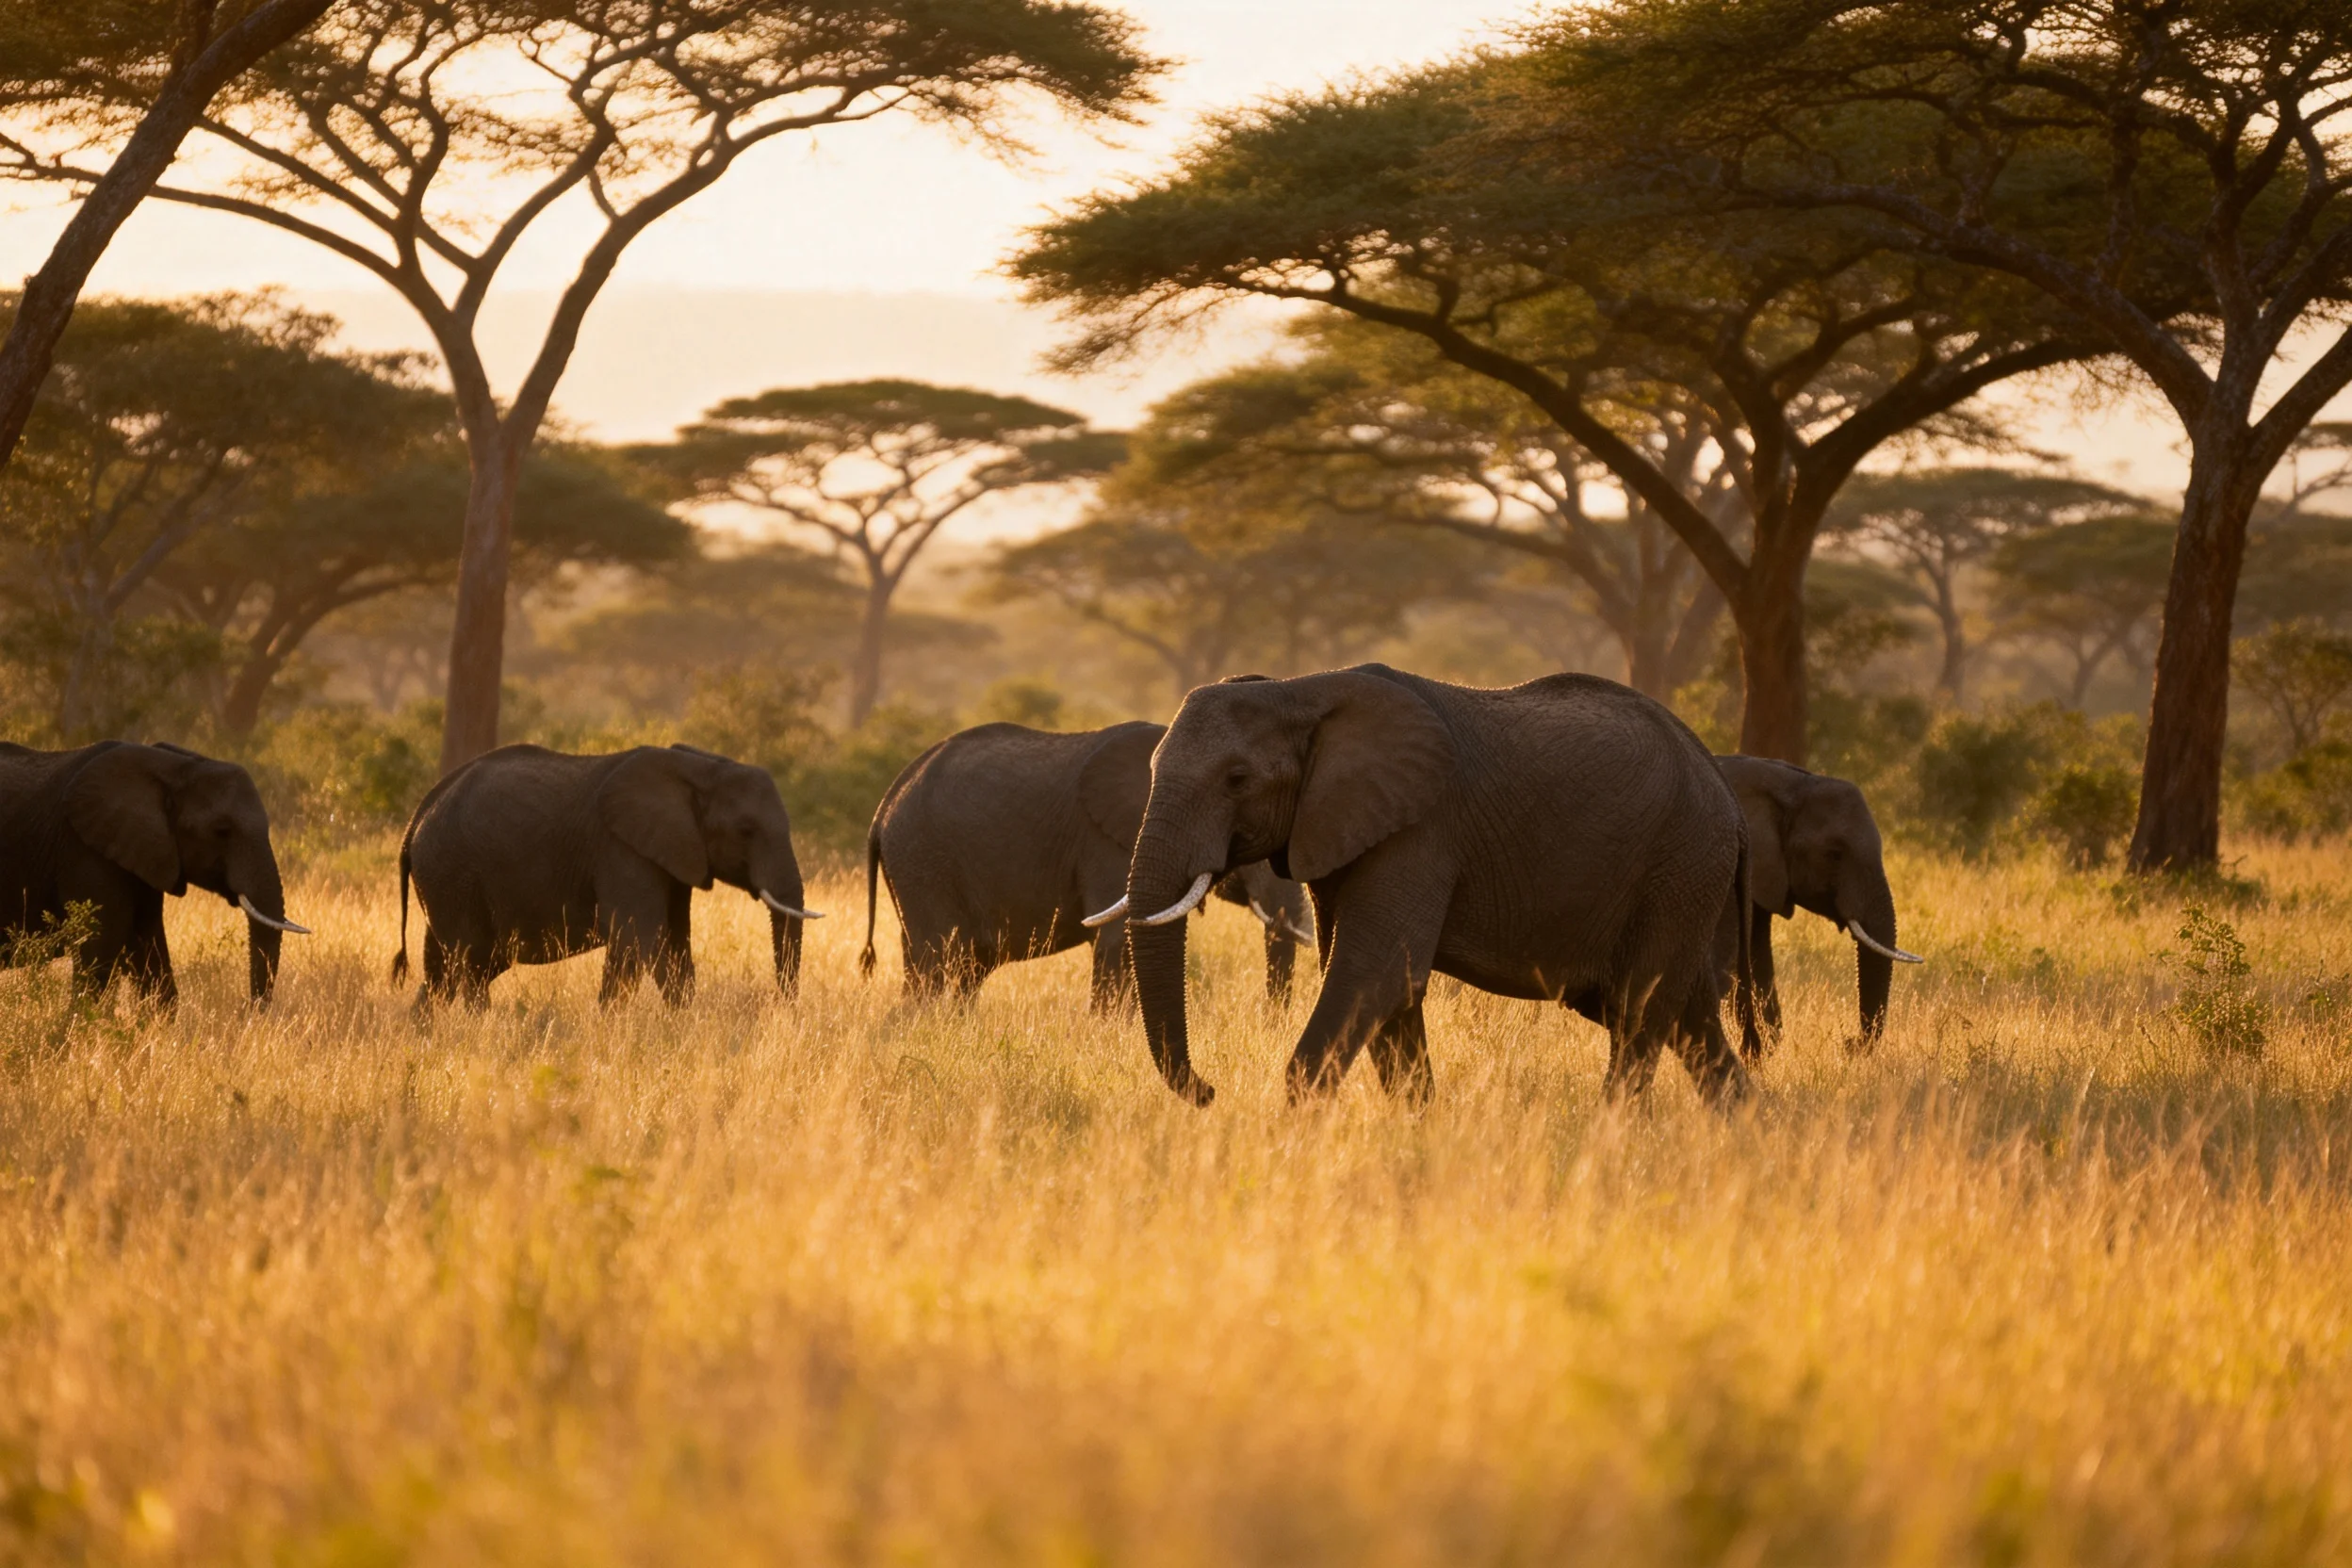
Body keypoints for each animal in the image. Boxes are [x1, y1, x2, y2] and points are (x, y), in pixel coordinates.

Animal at [0, 740, 308, 1006]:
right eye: (222, 831)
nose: (248, 1012)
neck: (173, 769)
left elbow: (148, 949)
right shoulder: (85, 851)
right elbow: (99, 954)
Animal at [394, 743, 819, 1007]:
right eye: (746, 830)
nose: (781, 1008)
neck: (700, 768)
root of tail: (415, 820)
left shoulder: (671, 854)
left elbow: (675, 943)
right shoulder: (621, 848)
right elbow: (638, 940)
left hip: (445, 881)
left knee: (442, 973)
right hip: (452, 874)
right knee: (470, 966)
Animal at [860, 720, 1316, 1007]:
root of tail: (883, 807)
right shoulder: (1109, 843)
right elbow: (1118, 940)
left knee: (958, 969)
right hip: (923, 861)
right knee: (939, 963)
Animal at [1098, 665, 1752, 1107]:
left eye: (1236, 779)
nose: (1210, 1091)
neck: (1300, 690)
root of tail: (1723, 784)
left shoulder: (1420, 829)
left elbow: (1373, 973)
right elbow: (1388, 988)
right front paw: (1420, 1132)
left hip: (1684, 859)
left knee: (1639, 1011)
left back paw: (1612, 1139)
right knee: (1686, 1019)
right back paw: (1753, 1136)